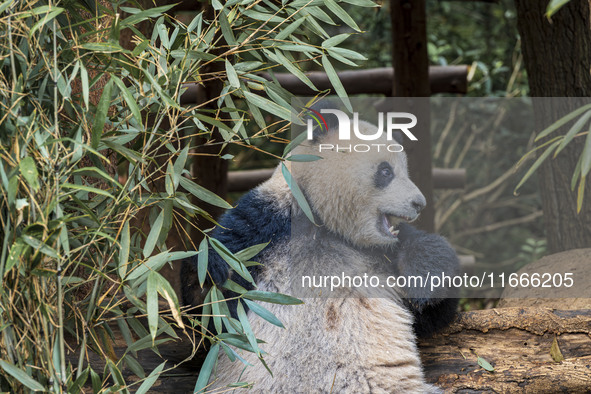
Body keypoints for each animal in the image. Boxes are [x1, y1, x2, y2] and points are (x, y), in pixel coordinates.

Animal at [183, 106, 460, 392]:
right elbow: (207, 316)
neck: (322, 222)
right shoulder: (265, 223)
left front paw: (425, 284)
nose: (419, 203)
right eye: (386, 171)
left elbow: (429, 311)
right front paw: (210, 273)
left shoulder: (381, 255)